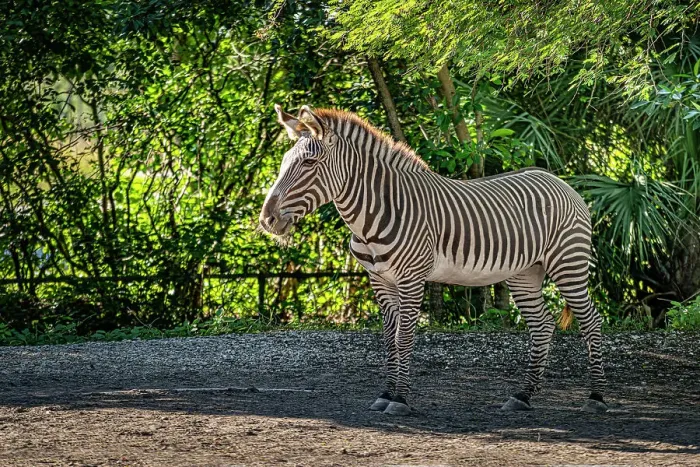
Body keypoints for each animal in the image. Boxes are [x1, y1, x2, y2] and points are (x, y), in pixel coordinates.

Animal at [259, 104, 608, 416]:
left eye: (309, 163)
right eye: (284, 162)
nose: (267, 220)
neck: (377, 212)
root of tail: (559, 181)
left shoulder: (411, 279)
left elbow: (404, 338)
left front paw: (400, 400)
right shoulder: (380, 280)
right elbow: (389, 339)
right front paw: (386, 394)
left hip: (568, 264)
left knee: (591, 321)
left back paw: (596, 397)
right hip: (525, 273)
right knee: (542, 325)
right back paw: (523, 395)